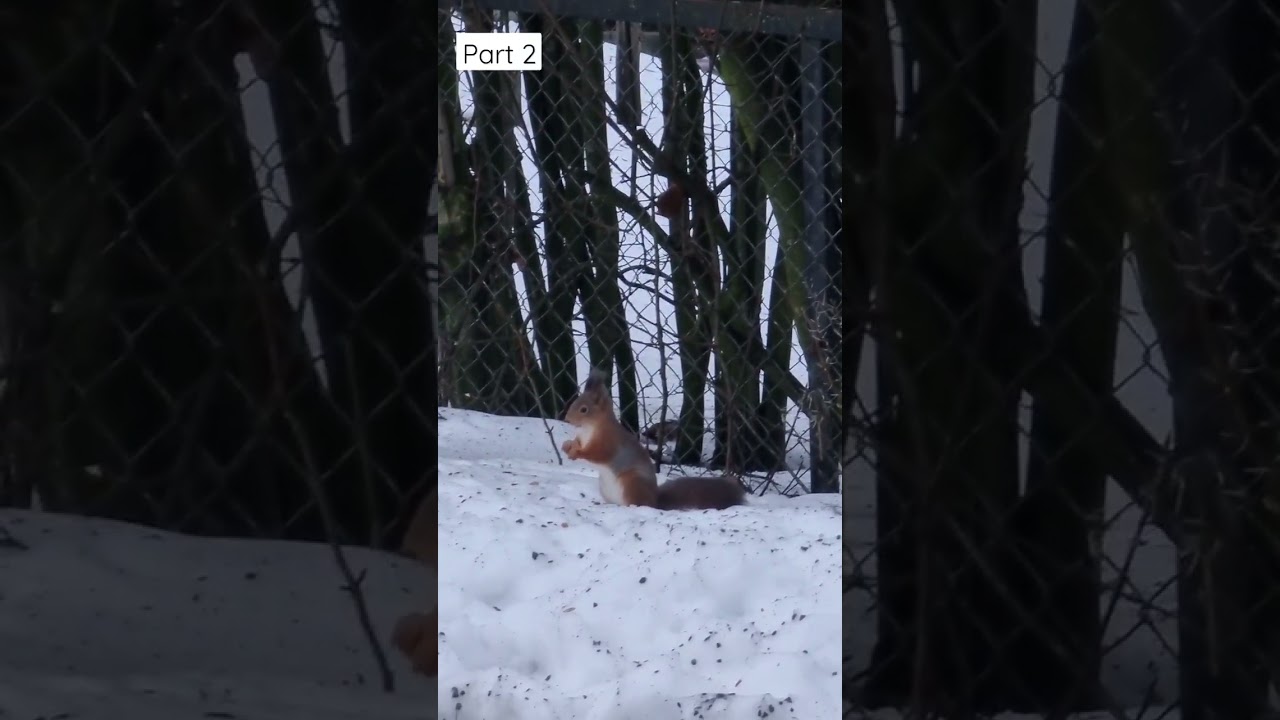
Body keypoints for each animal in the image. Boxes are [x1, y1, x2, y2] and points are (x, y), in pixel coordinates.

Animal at [561, 369, 746, 511]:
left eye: (584, 409)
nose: (567, 419)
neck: (588, 428)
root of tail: (655, 502)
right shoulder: (582, 437)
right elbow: (577, 443)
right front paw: (567, 446)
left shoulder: (608, 441)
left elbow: (597, 453)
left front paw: (577, 453)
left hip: (632, 483)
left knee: (637, 503)